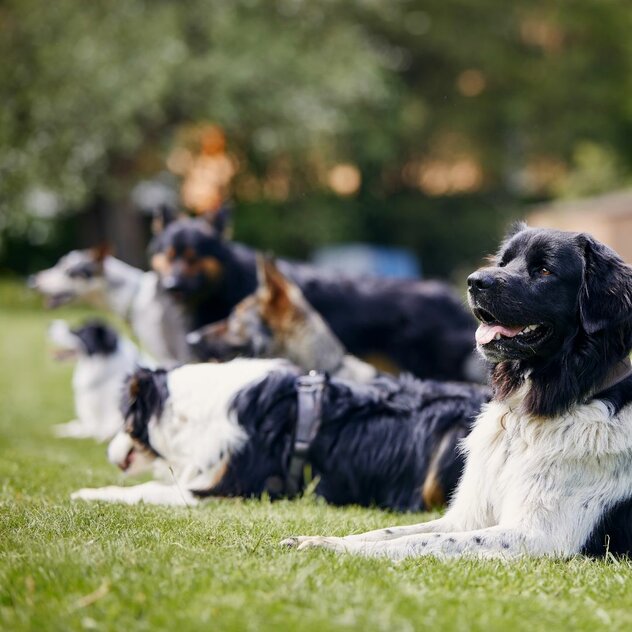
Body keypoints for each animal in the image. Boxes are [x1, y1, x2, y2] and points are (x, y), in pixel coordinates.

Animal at [282, 226, 632, 556]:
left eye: (544, 270)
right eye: (503, 262)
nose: (475, 281)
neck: (527, 413)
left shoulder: (538, 537)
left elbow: (421, 542)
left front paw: (341, 550)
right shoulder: (467, 517)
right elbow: (392, 531)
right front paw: (321, 539)